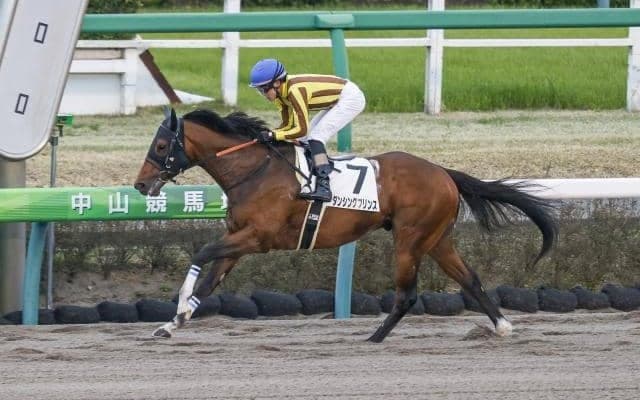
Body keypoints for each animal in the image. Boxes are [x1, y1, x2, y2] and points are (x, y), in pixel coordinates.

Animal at [134, 108, 558, 342]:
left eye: (160, 146)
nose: (140, 184)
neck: (253, 170)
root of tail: (443, 173)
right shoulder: (238, 237)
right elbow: (209, 280)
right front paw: (173, 323)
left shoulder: (258, 237)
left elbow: (201, 253)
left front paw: (179, 307)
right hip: (437, 239)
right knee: (469, 278)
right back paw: (502, 326)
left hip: (410, 239)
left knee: (408, 294)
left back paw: (373, 338)